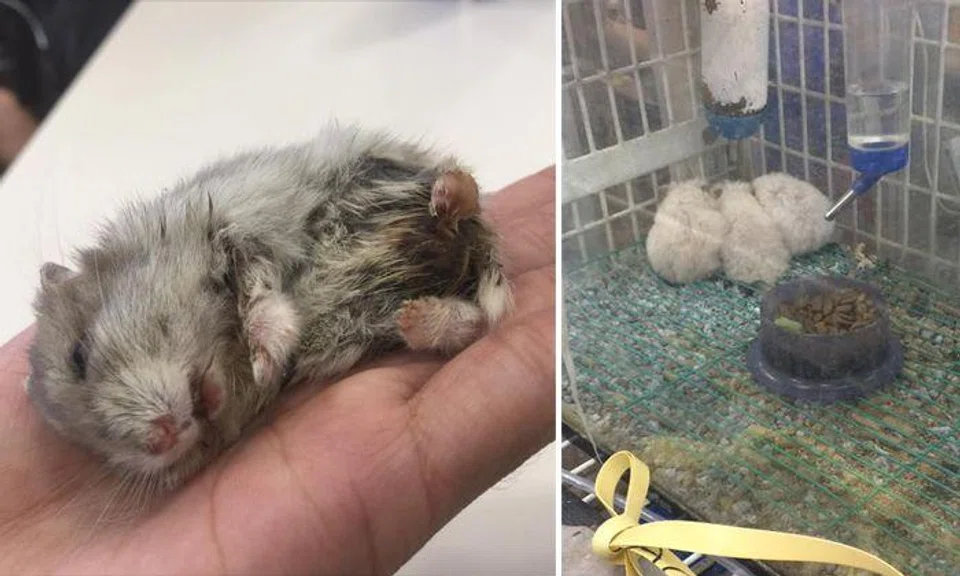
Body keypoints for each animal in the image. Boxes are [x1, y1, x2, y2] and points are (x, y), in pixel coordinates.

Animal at [25, 123, 512, 492]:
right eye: (92, 444)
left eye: (79, 355)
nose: (162, 438)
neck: (223, 347)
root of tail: (456, 248)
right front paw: (257, 375)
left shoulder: (235, 239)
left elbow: (258, 298)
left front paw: (264, 362)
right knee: (470, 322)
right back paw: (416, 317)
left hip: (381, 170)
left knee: (458, 194)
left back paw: (447, 196)